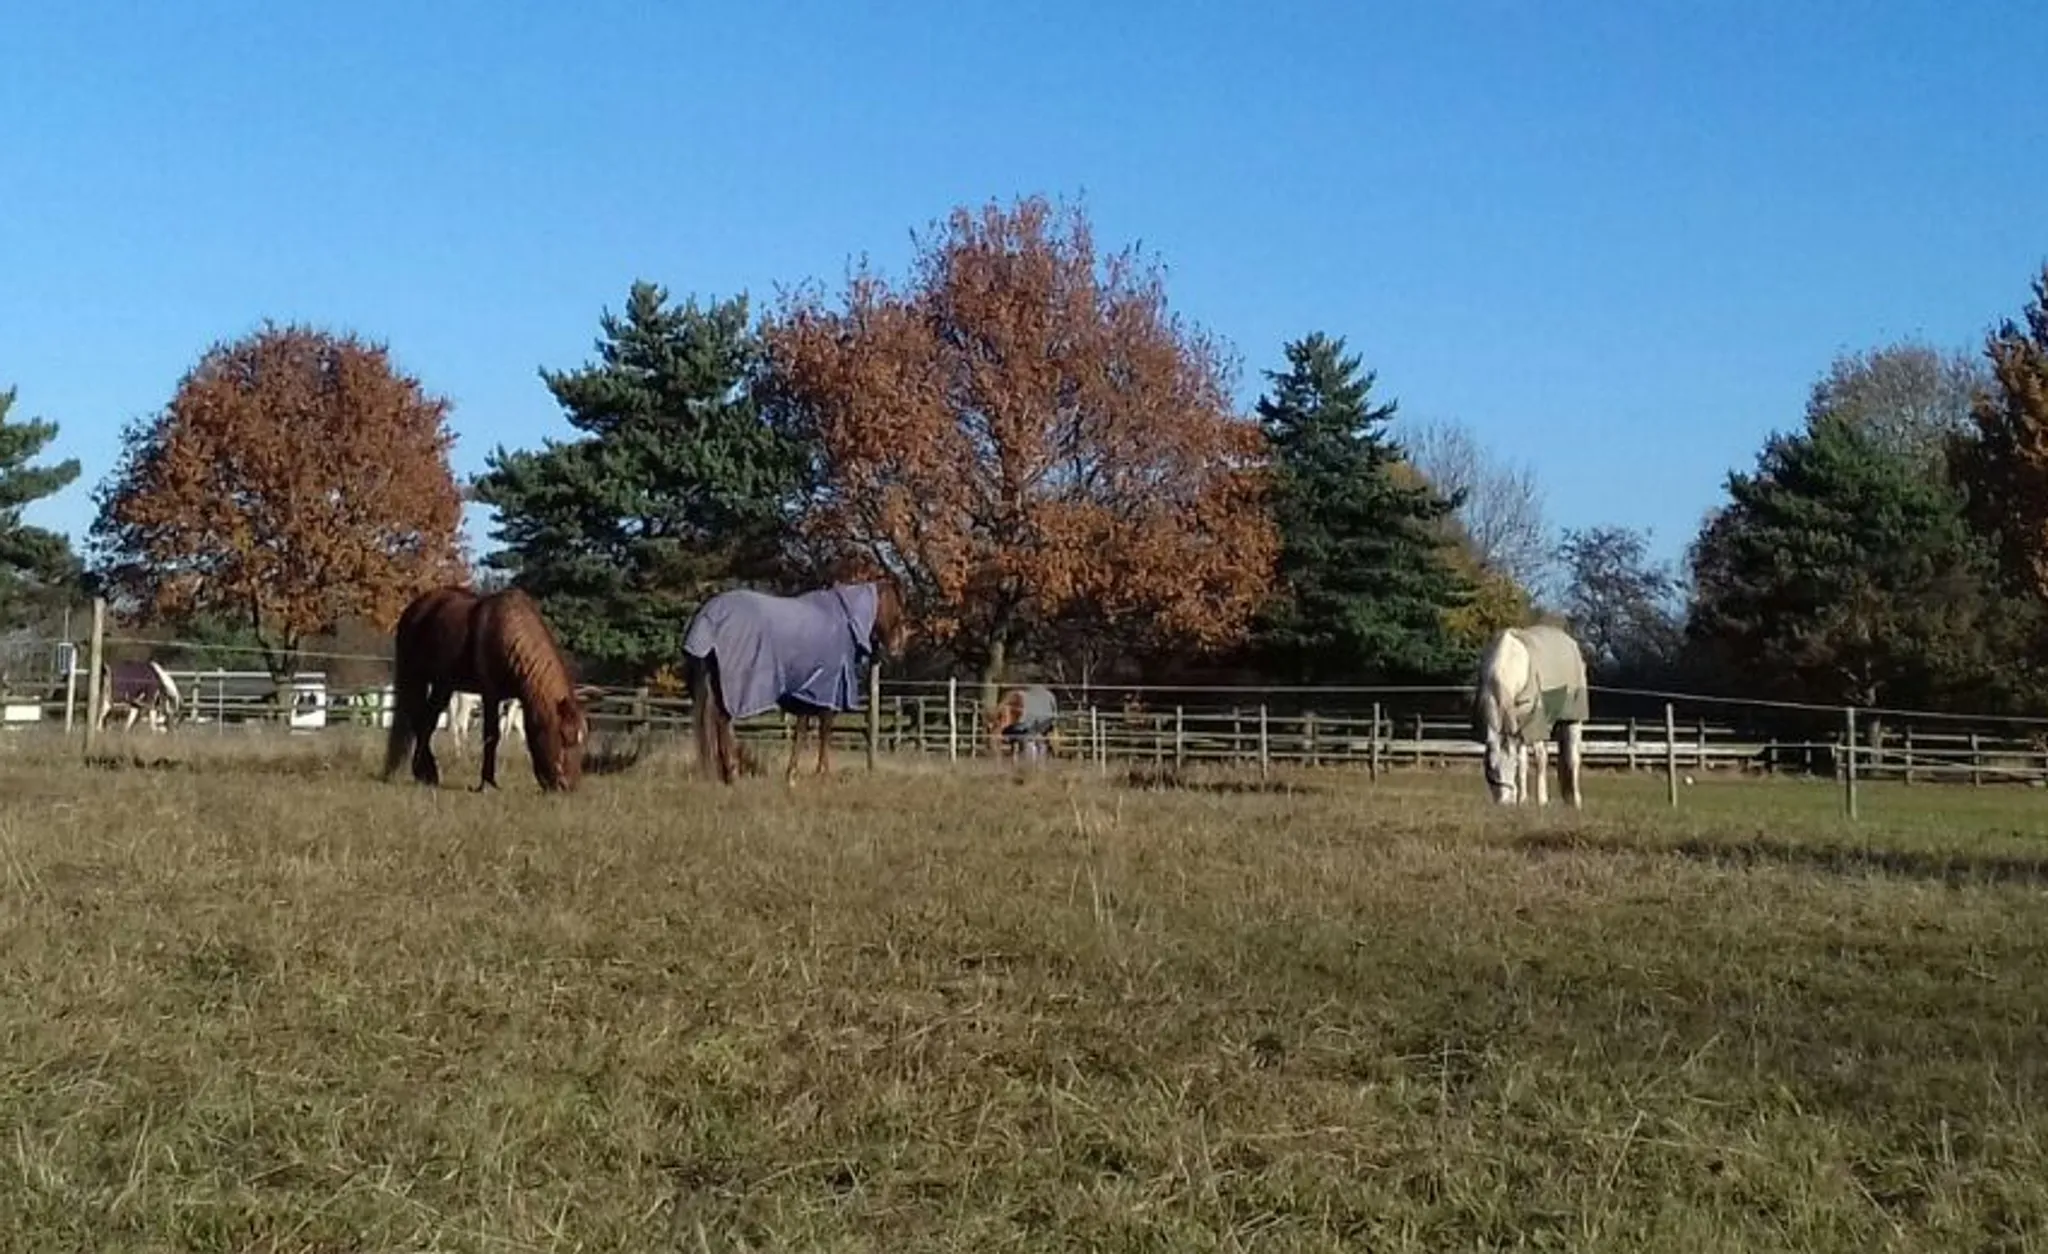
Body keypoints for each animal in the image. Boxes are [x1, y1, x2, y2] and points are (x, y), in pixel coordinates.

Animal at [381, 585, 589, 792]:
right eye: (564, 737)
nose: (568, 785)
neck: (507, 632)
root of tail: (414, 608)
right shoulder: (491, 695)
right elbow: (492, 735)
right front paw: (487, 783)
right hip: (414, 675)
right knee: (417, 717)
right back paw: (425, 771)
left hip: (443, 685)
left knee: (427, 722)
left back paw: (426, 773)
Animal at [682, 578, 911, 785]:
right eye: (897, 609)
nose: (898, 648)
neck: (843, 624)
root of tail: (709, 615)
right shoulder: (829, 692)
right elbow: (824, 730)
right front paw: (823, 774)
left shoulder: (806, 694)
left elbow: (801, 732)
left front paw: (792, 774)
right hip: (734, 689)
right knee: (723, 721)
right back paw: (732, 773)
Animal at [1471, 624, 1589, 807]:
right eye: (1491, 768)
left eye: (1511, 766)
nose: (1505, 802)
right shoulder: (1518, 727)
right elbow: (1524, 763)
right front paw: (1523, 800)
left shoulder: (1535, 722)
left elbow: (1539, 759)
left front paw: (1542, 801)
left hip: (1573, 718)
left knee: (1573, 757)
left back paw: (1575, 801)